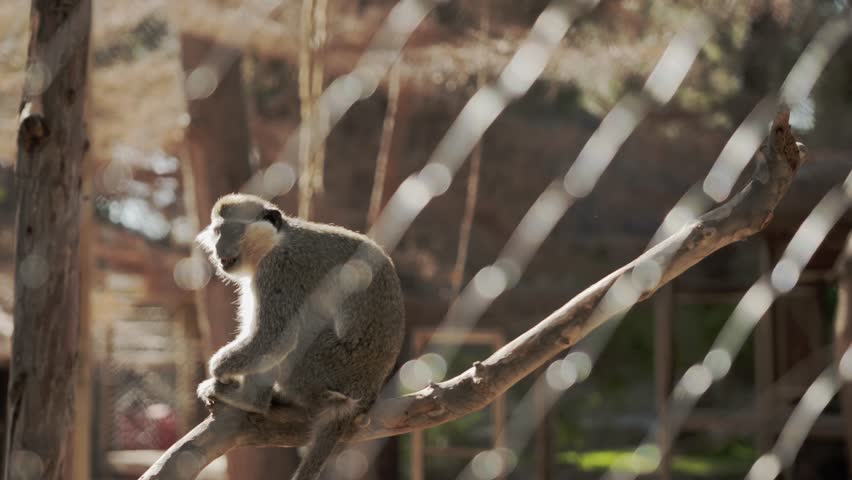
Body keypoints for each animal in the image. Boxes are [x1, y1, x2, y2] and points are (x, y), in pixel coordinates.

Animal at [194, 193, 405, 480]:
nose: (218, 249)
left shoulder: (279, 270)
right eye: (218, 232)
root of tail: (365, 396)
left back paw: (251, 401)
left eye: (234, 230)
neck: (275, 241)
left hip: (326, 366)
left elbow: (274, 338)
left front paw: (219, 368)